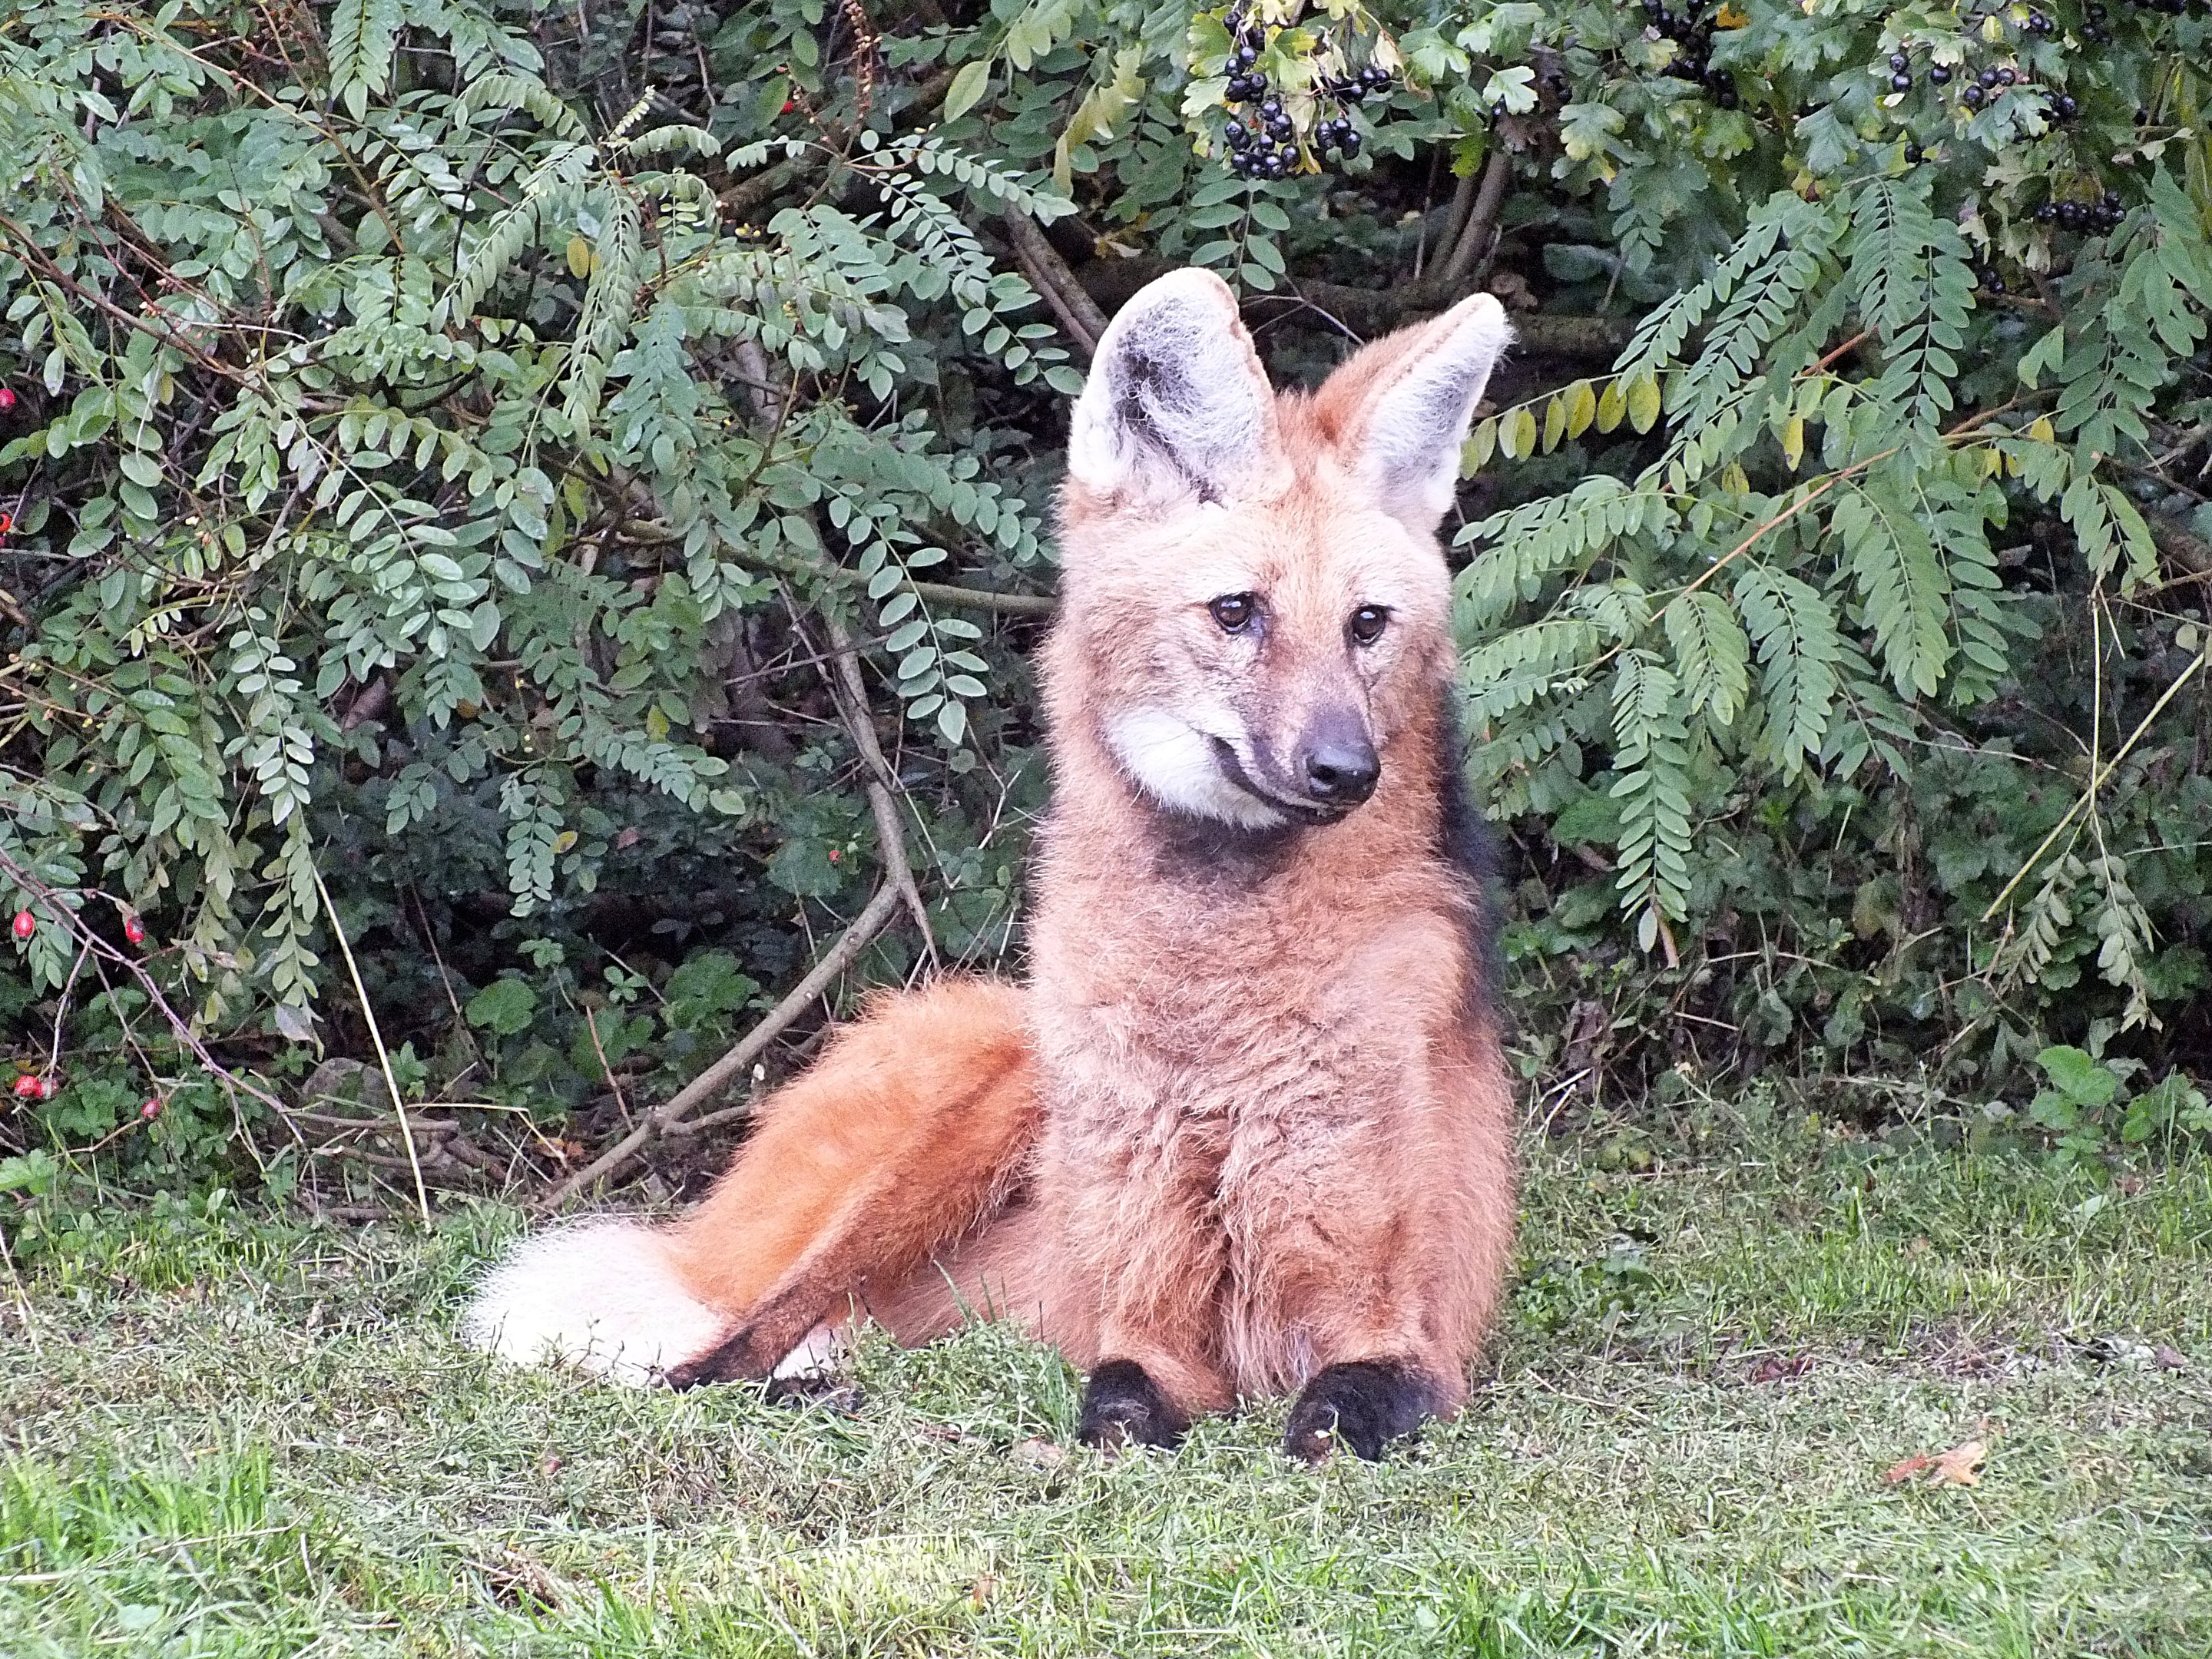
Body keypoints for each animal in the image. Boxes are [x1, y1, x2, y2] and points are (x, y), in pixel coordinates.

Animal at [464, 267, 1518, 1462]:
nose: (1347, 771)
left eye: (1367, 625)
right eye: (1237, 613)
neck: (1215, 1021)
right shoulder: (1145, 1325)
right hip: (975, 1108)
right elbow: (1117, 1410)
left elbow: (1327, 1420)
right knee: (724, 1348)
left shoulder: (1402, 1343)